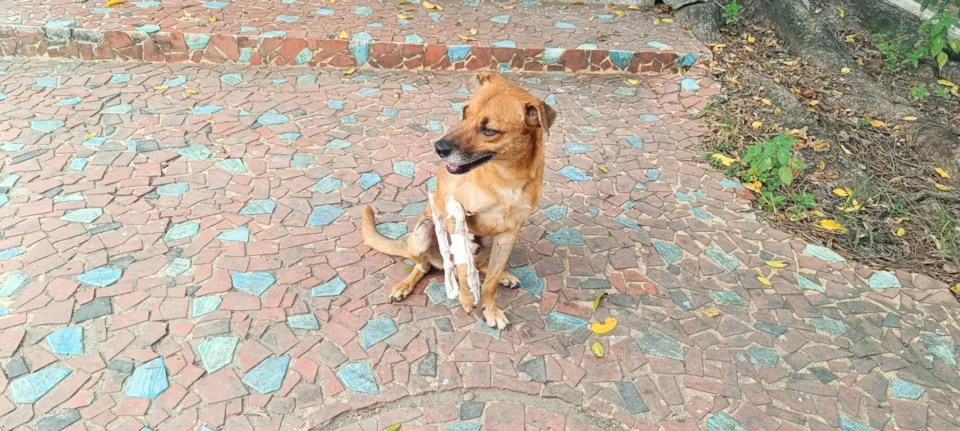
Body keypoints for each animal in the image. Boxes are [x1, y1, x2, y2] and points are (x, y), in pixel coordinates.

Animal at [362, 72, 556, 329]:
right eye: (464, 112)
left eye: (489, 130)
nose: (438, 147)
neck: (507, 178)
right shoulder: (458, 218)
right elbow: (464, 268)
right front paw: (466, 297)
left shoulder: (509, 233)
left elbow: (491, 280)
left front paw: (490, 309)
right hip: (424, 232)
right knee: (425, 266)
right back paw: (406, 285)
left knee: (482, 266)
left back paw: (504, 276)